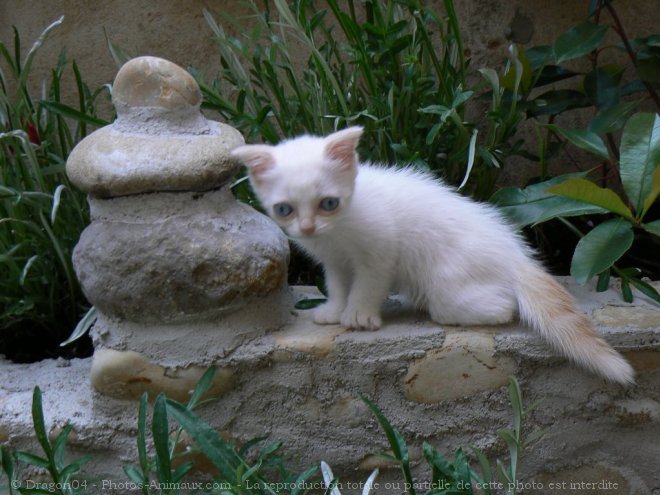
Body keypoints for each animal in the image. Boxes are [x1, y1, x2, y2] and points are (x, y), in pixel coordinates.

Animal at [232, 126, 636, 386]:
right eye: (284, 210)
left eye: (328, 203)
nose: (308, 228)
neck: (339, 231)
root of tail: (515, 256)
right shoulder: (334, 260)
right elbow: (338, 283)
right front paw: (333, 311)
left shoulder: (380, 251)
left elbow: (367, 285)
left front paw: (359, 315)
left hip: (450, 285)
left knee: (497, 306)